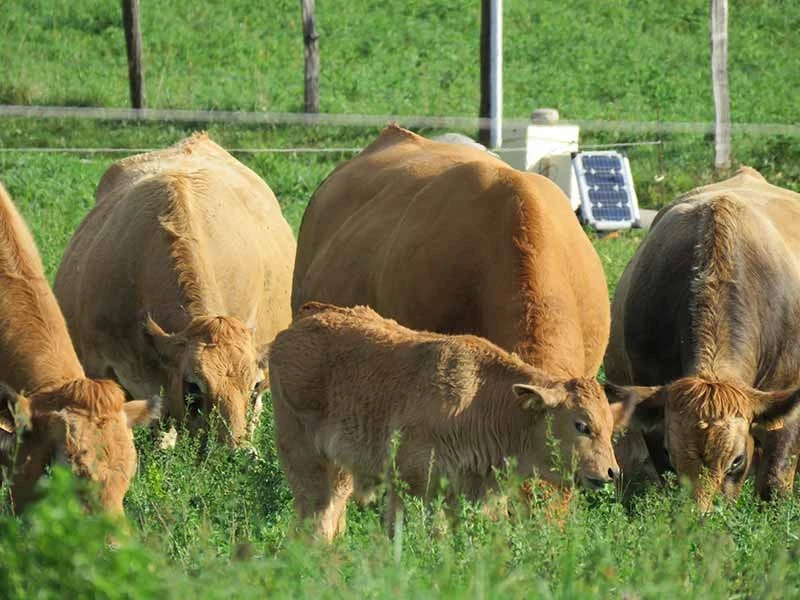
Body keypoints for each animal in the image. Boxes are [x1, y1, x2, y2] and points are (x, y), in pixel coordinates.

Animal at [270, 302, 637, 541]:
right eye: (582, 425)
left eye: (611, 428)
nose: (611, 472)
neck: (484, 402)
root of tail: (299, 323)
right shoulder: (418, 488)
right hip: (306, 463)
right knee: (315, 517)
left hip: (341, 471)